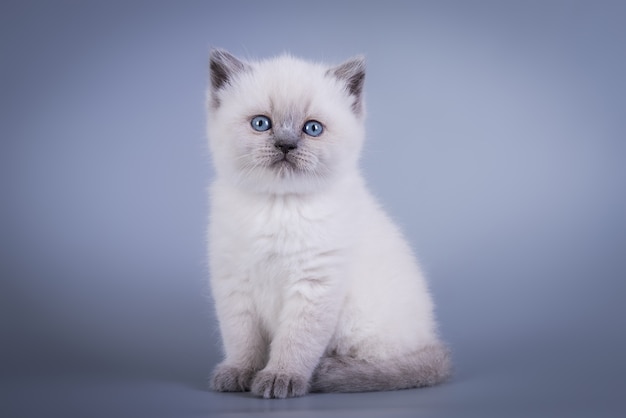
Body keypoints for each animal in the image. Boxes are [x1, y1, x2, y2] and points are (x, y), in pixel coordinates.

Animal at [207, 49, 450, 398]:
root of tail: (430, 341)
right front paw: (239, 373)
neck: (278, 205)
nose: (286, 145)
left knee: (384, 368)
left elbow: (295, 342)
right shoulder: (234, 284)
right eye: (261, 123)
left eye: (312, 128)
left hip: (362, 326)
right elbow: (242, 341)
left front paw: (279, 378)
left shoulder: (314, 285)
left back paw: (329, 371)